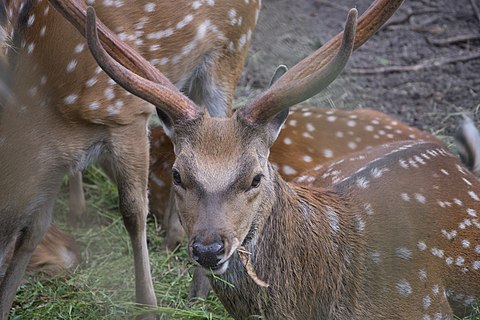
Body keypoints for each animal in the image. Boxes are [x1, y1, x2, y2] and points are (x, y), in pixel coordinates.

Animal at [0, 0, 258, 316]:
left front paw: (148, 307)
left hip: (230, 51)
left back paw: (198, 291)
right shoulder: (57, 158)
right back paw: (174, 238)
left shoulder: (128, 115)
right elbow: (34, 228)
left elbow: (133, 212)